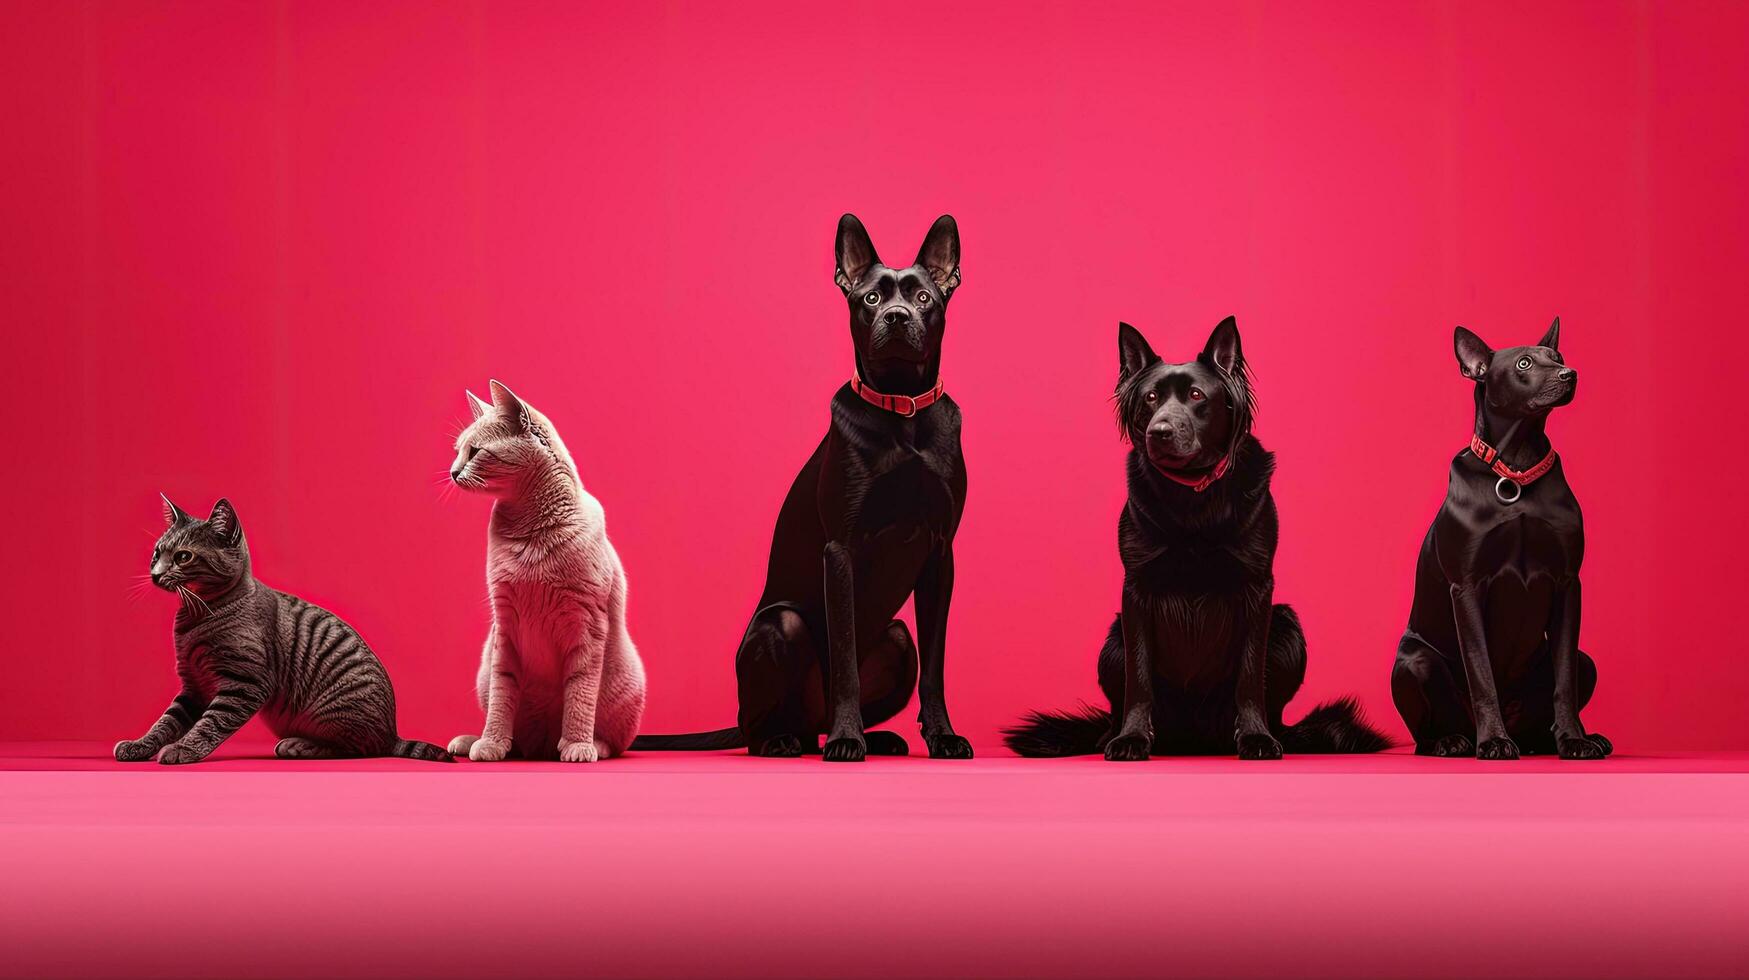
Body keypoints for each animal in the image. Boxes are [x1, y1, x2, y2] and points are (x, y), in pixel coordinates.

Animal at [117, 497, 454, 766]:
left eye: (183, 556)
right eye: (156, 553)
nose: (154, 574)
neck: (196, 616)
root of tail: (391, 731)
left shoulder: (245, 684)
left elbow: (210, 723)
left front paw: (184, 749)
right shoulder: (193, 685)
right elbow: (165, 722)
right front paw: (139, 746)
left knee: (358, 748)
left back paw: (301, 744)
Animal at [444, 379, 650, 763]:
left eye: (475, 451)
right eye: (458, 450)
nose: (452, 471)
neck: (531, 536)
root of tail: (540, 745)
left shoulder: (588, 627)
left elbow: (580, 693)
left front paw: (577, 745)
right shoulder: (504, 627)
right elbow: (502, 695)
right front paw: (491, 742)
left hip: (628, 678)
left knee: (615, 741)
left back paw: (593, 745)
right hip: (484, 671)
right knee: (516, 738)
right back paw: (471, 741)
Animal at [636, 216, 979, 766]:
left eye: (924, 298)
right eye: (870, 298)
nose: (897, 318)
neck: (901, 408)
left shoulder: (940, 555)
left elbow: (935, 668)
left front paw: (943, 736)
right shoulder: (840, 552)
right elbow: (843, 662)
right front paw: (846, 740)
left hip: (898, 639)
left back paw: (873, 739)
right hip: (782, 624)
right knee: (764, 727)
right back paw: (789, 741)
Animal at [1007, 318, 1385, 763]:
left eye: (1196, 395)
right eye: (1151, 398)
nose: (1159, 431)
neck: (1192, 498)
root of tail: (1194, 738)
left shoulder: (1258, 588)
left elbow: (1249, 675)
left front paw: (1256, 738)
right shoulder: (1136, 591)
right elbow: (1139, 679)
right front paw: (1131, 738)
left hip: (1287, 624)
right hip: (1112, 641)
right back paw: (1111, 735)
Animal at [1392, 318, 1609, 763]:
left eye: (1557, 357)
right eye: (1524, 363)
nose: (1570, 374)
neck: (1517, 469)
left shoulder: (1568, 584)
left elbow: (1564, 677)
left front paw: (1575, 740)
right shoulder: (1467, 588)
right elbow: (1481, 673)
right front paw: (1492, 740)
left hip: (1587, 663)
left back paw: (1572, 738)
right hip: (1413, 662)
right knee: (1425, 735)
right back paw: (1452, 741)